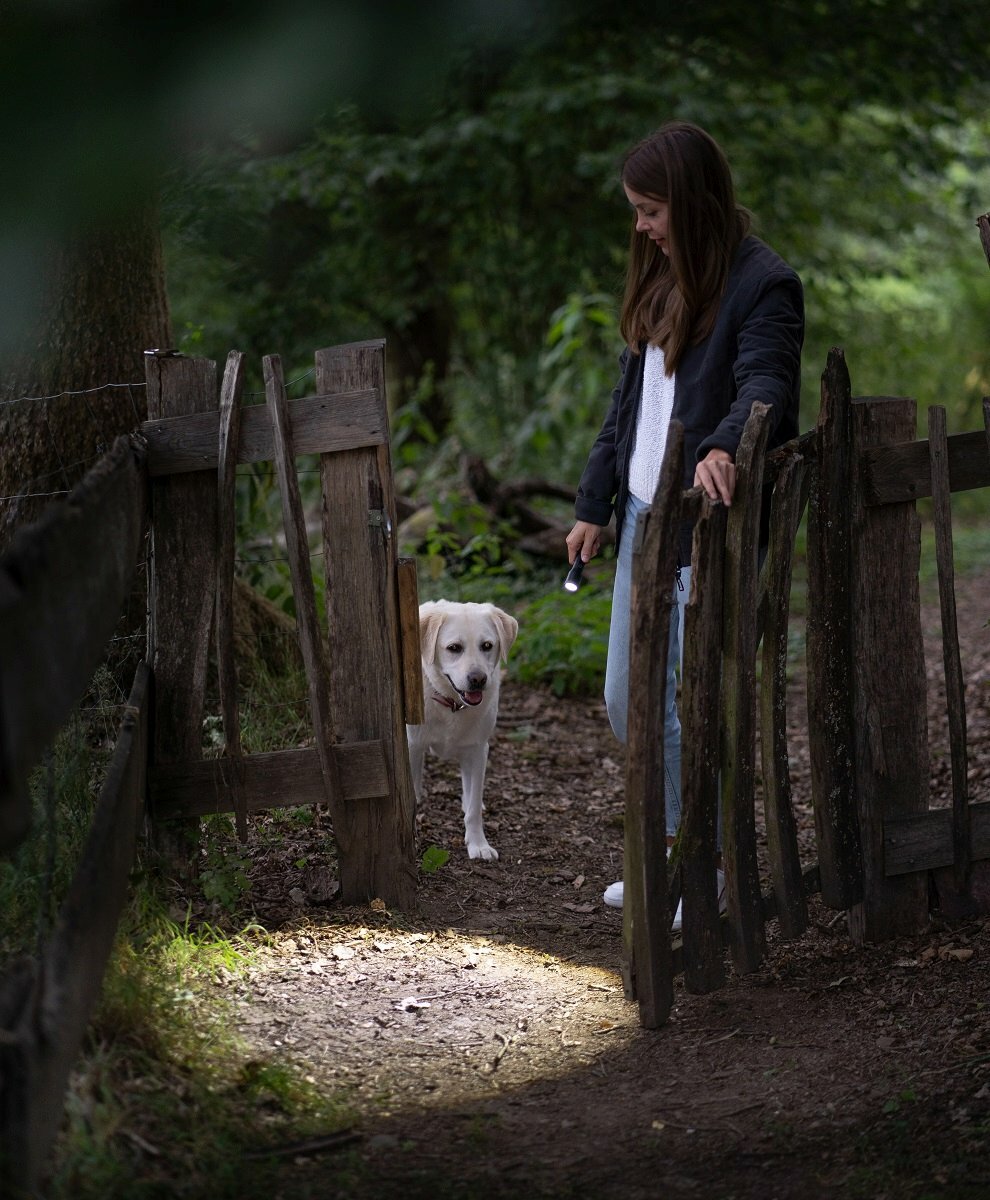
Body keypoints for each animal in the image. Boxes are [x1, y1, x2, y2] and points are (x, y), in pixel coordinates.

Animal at [408, 604, 520, 859]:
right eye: (454, 648)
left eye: (487, 646)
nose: (478, 679)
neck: (452, 704)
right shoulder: (412, 747)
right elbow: (413, 795)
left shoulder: (478, 750)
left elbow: (473, 807)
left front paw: (478, 844)